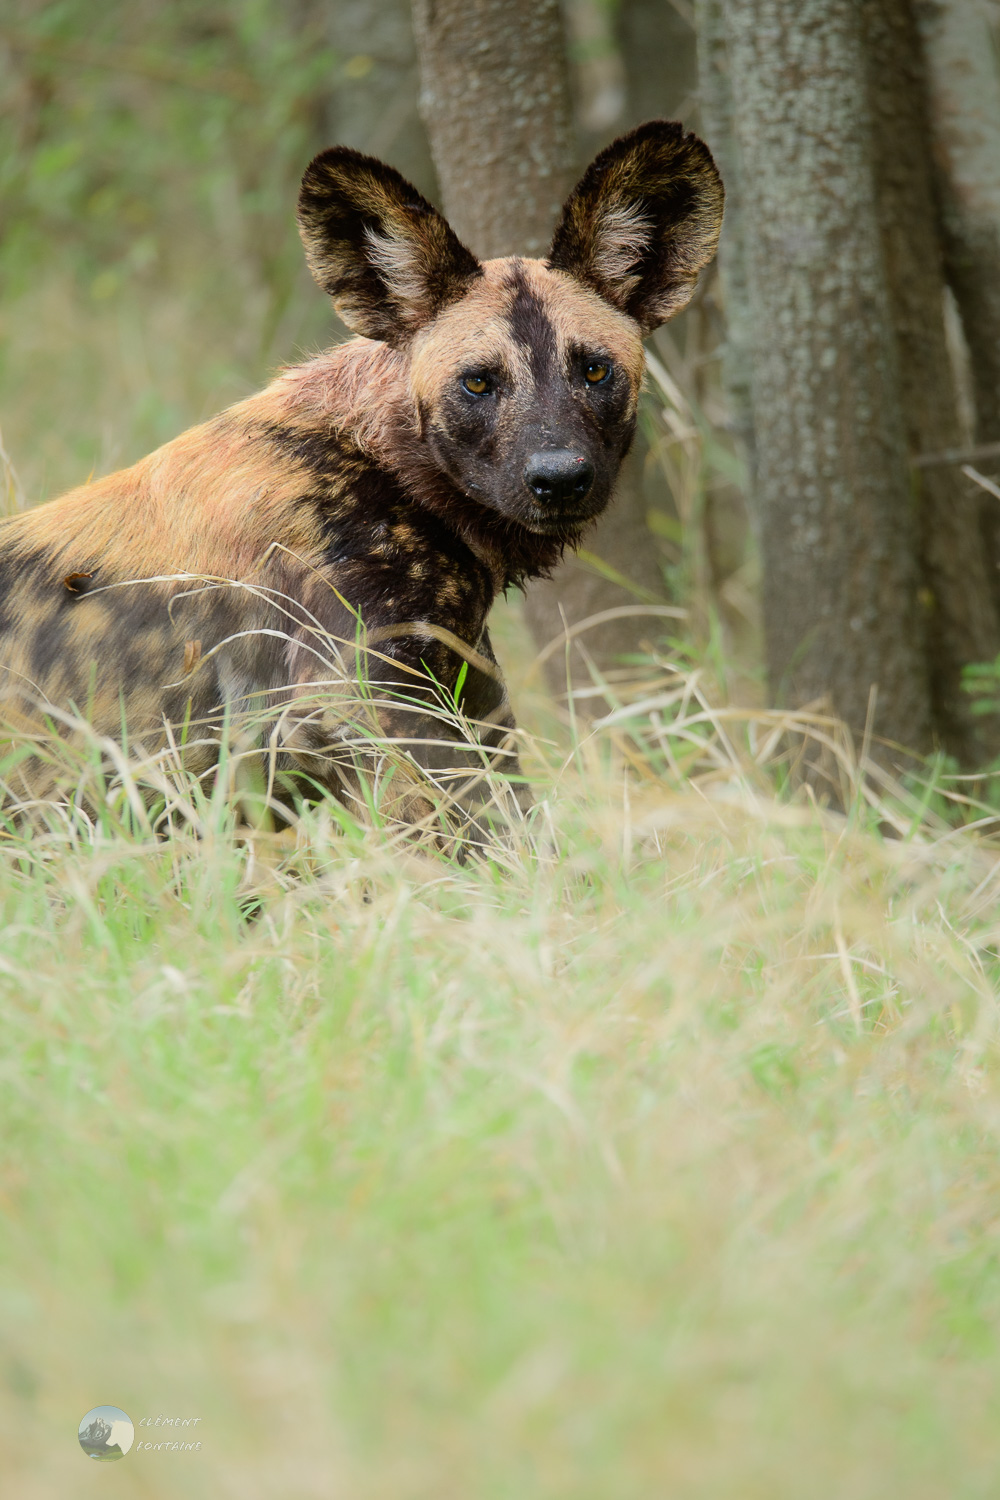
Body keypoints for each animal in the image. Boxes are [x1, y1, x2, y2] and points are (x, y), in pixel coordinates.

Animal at [0, 120, 722, 834]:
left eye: (594, 371)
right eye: (478, 383)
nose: (560, 478)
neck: (384, 464)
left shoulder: (459, 697)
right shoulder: (366, 711)